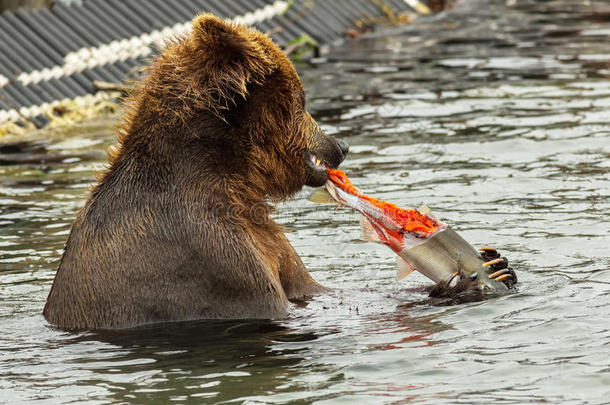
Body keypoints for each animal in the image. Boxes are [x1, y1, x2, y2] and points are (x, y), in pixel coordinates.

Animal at [44, 14, 346, 330]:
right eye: (302, 99)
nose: (341, 146)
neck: (228, 175)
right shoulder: (214, 258)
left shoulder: (268, 244)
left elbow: (308, 282)